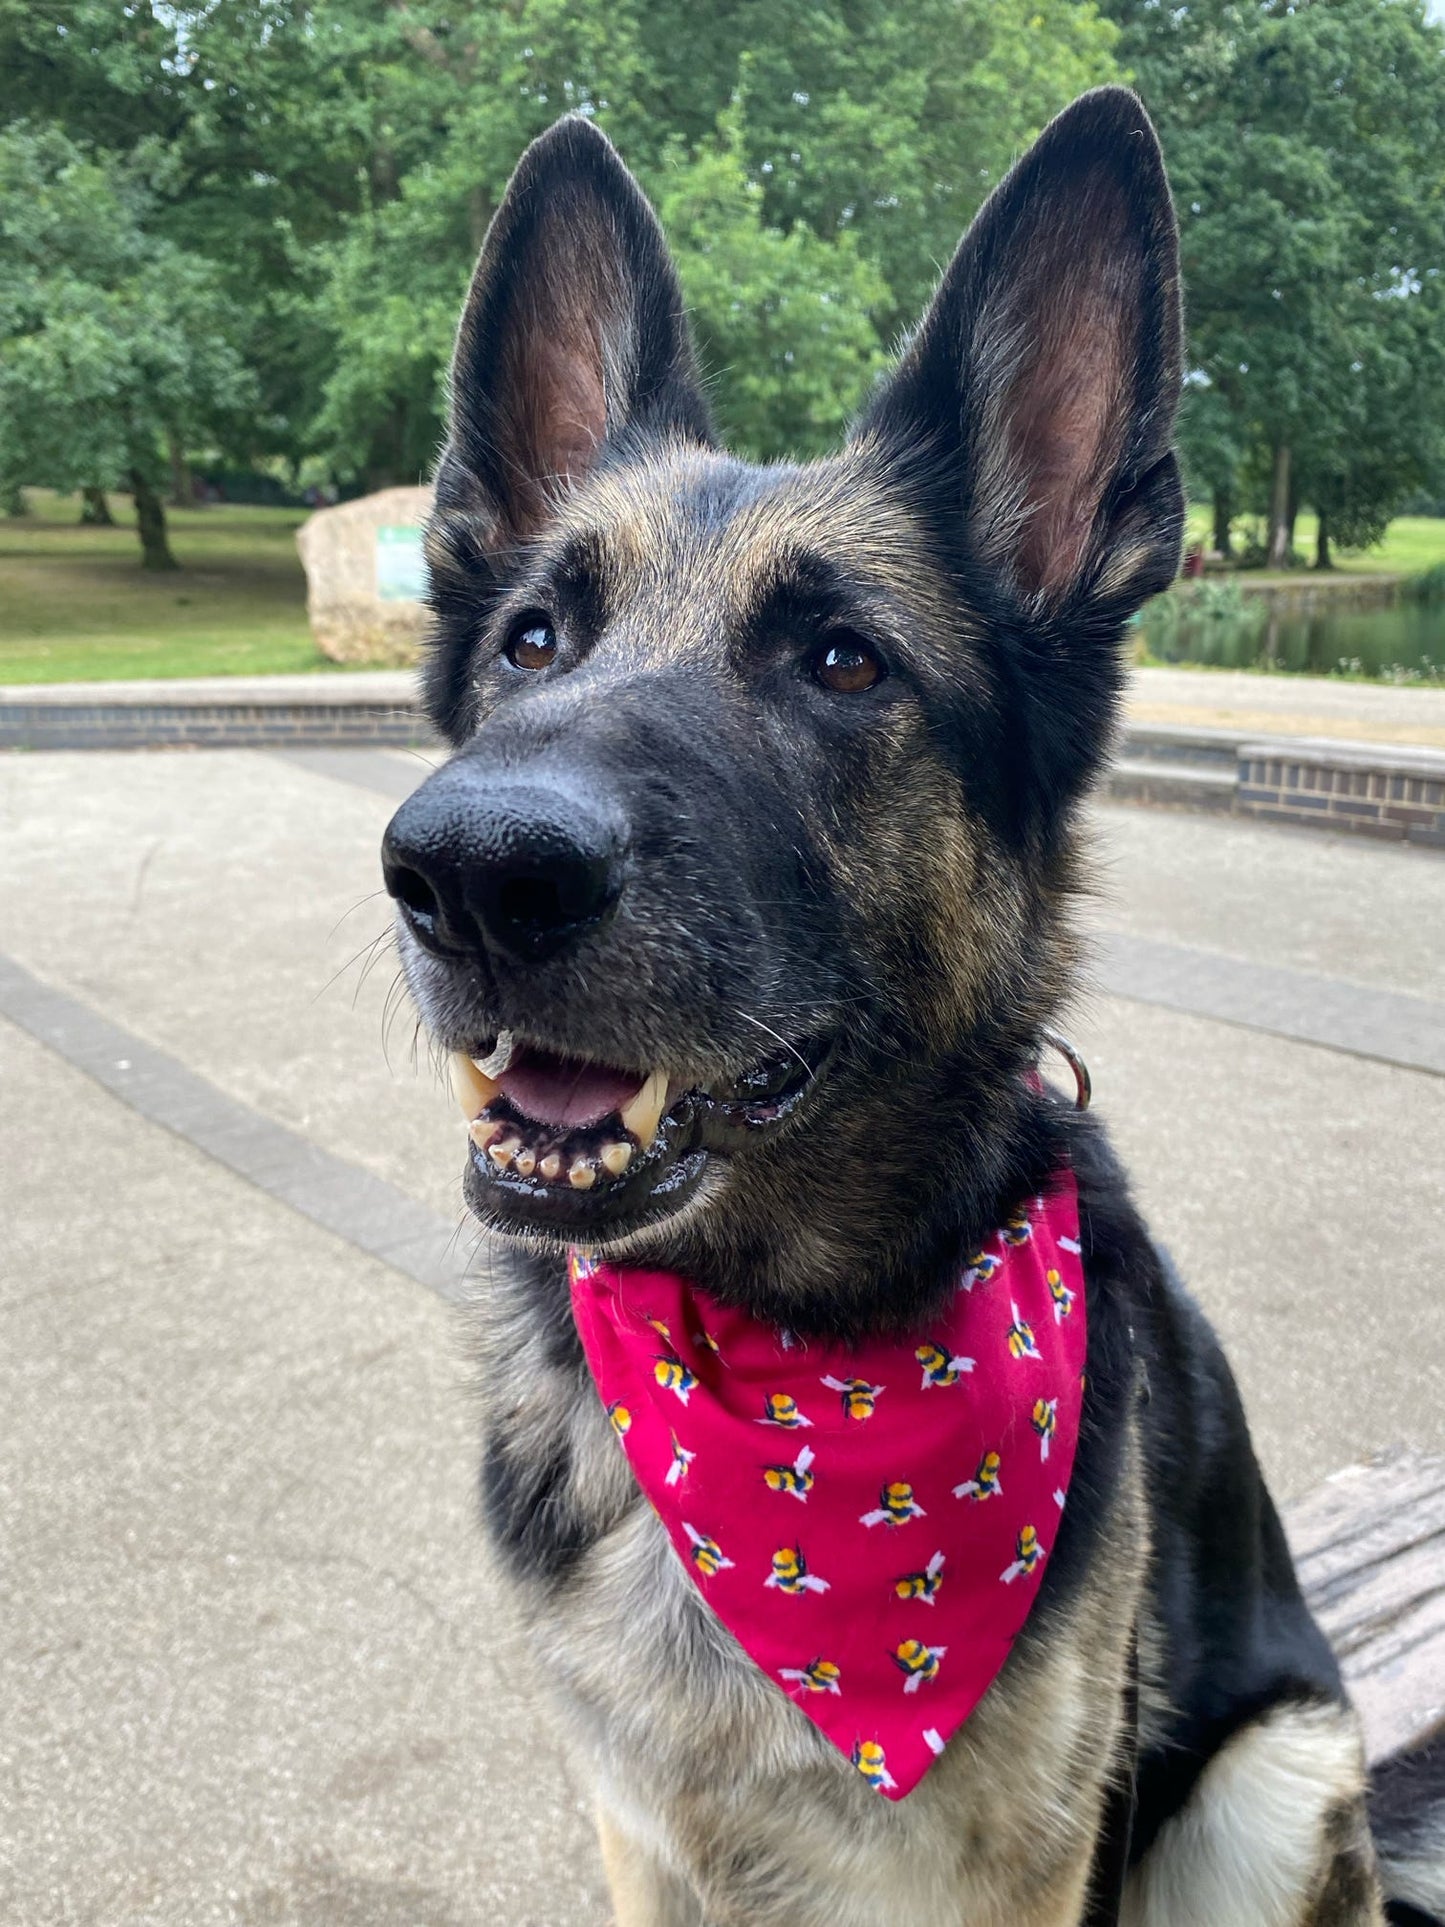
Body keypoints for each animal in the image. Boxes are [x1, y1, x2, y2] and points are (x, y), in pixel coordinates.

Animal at [379, 90, 1441, 1927]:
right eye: (530, 641)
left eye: (843, 662)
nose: (468, 870)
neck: (773, 1348)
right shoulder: (641, 1837)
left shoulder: (1020, 1872)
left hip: (1267, 1773)